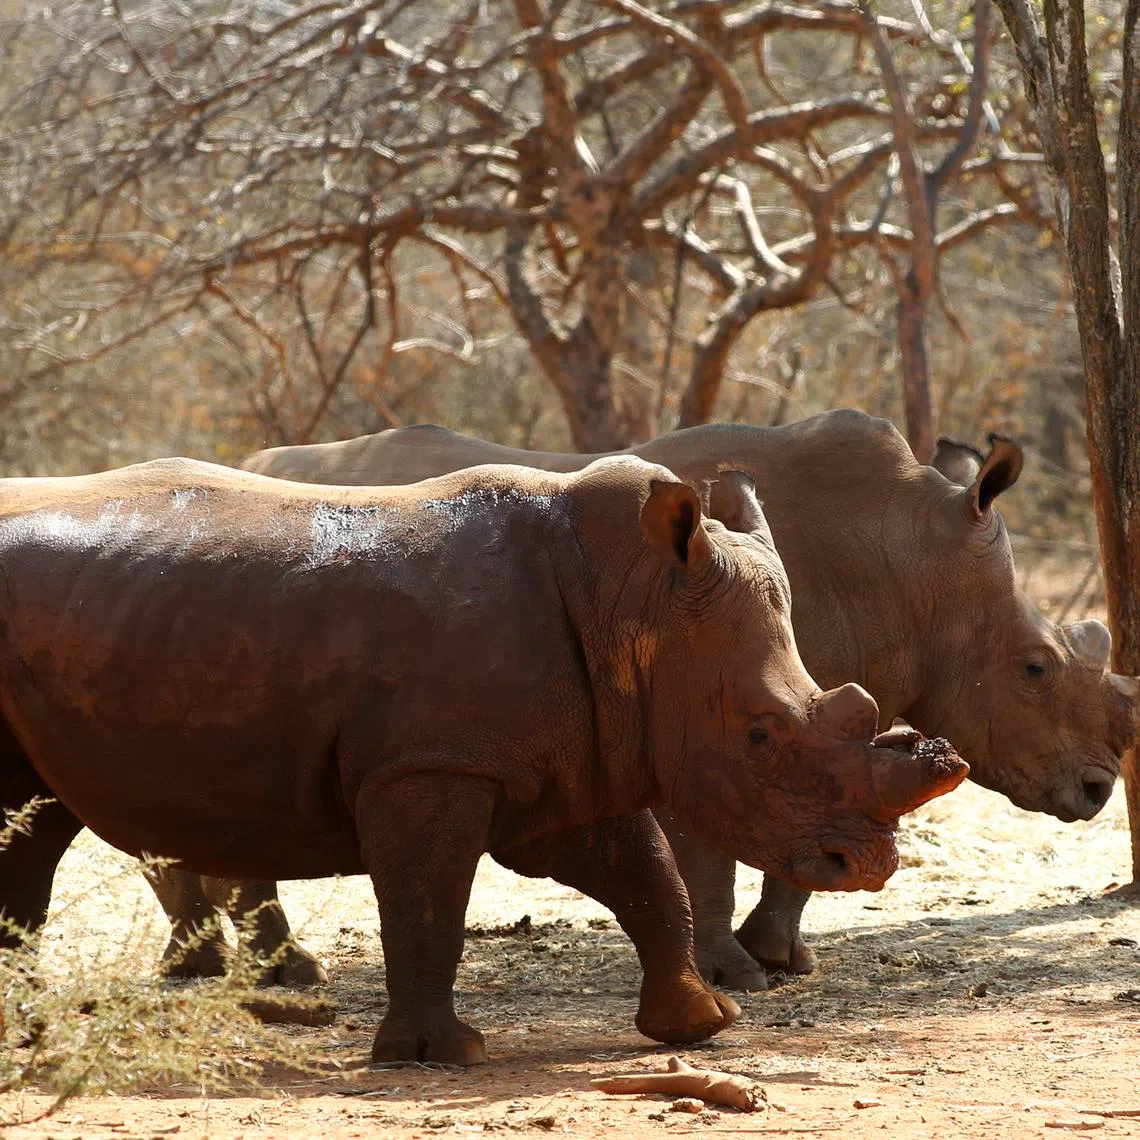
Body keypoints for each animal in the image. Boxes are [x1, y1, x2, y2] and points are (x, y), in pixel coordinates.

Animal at [0, 455, 967, 1063]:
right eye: (762, 736)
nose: (865, 862)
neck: (633, 609)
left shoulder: (568, 758)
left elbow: (647, 873)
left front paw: (701, 1025)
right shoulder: (434, 763)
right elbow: (429, 901)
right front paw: (443, 1056)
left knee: (31, 836)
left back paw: (28, 1034)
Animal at [151, 410, 1135, 994]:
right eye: (1037, 669)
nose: (1095, 791)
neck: (908, 566)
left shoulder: (798, 721)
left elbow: (800, 842)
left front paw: (780, 960)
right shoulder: (718, 712)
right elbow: (717, 855)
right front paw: (739, 972)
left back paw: (217, 967)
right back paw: (281, 973)